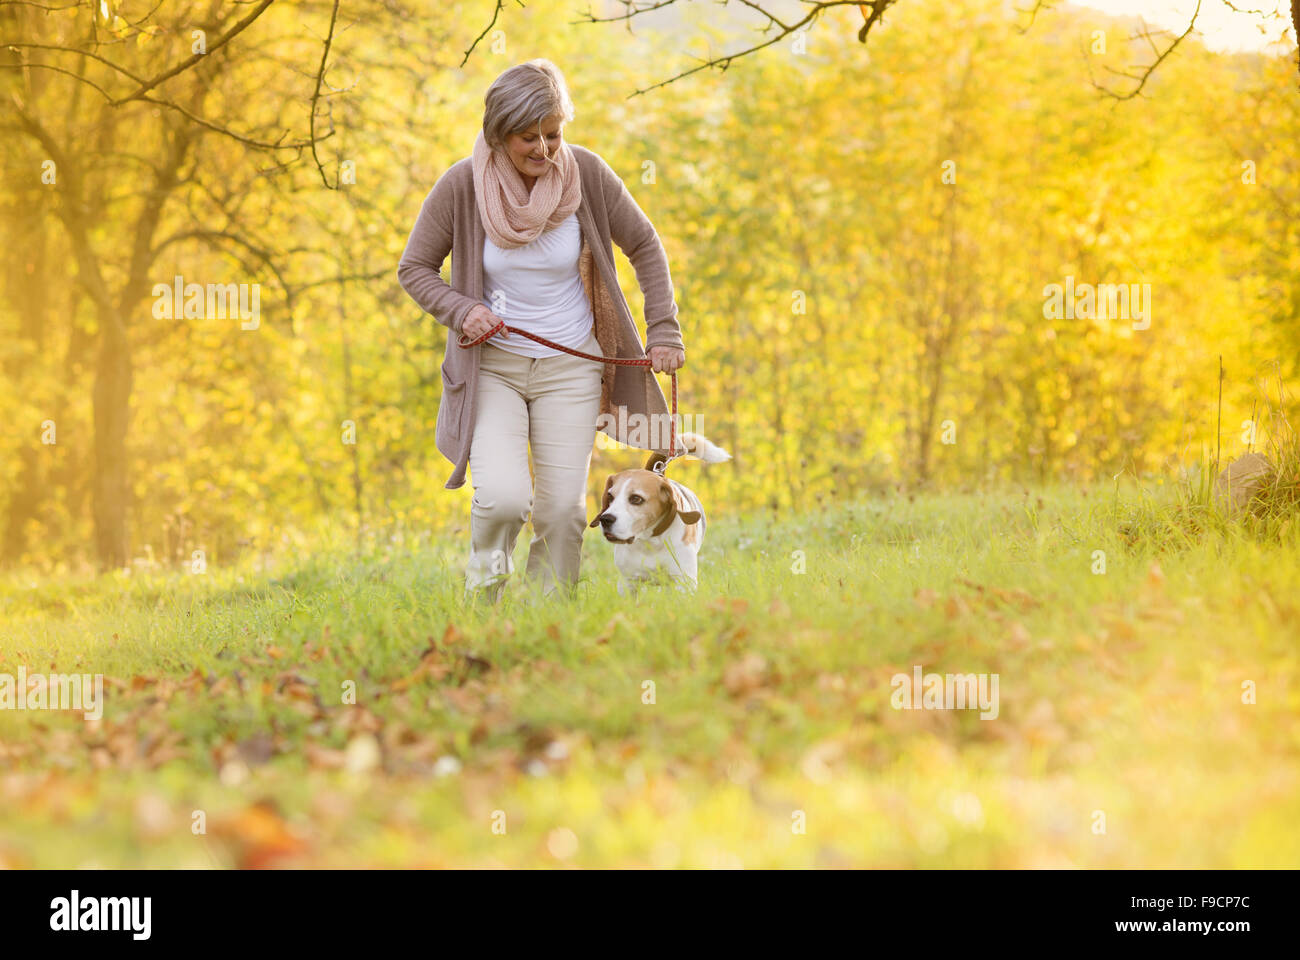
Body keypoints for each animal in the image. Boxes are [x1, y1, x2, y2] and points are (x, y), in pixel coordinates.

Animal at [590, 429, 733, 587]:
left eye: (636, 499)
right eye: (610, 497)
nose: (605, 519)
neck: (650, 541)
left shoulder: (684, 581)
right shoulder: (628, 582)